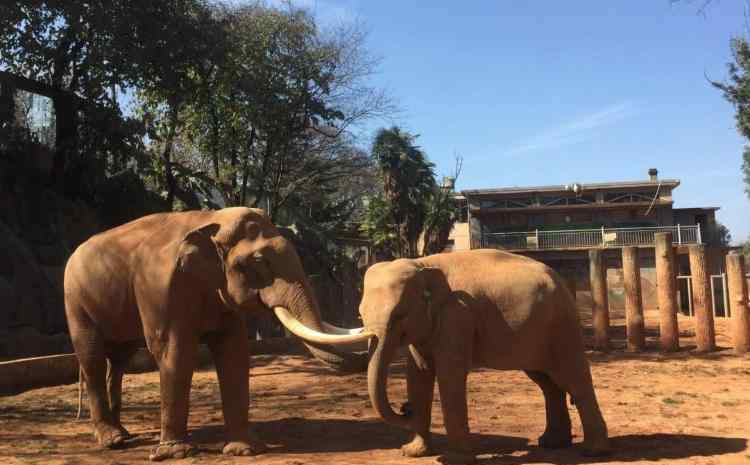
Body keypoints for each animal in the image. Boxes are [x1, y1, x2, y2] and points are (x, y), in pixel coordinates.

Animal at [63, 208, 374, 460]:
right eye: (259, 262)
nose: (371, 334)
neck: (207, 220)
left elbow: (233, 351)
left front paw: (244, 450)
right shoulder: (159, 288)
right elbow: (174, 351)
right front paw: (177, 453)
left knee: (118, 360)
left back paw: (124, 433)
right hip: (75, 301)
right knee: (92, 356)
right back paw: (111, 440)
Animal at [362, 248, 612, 462]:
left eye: (399, 315)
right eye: (360, 314)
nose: (405, 408)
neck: (421, 264)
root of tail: (560, 279)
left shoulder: (458, 315)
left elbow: (450, 375)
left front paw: (457, 460)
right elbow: (418, 375)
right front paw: (413, 452)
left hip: (561, 324)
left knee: (573, 379)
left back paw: (593, 452)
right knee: (547, 383)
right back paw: (552, 443)